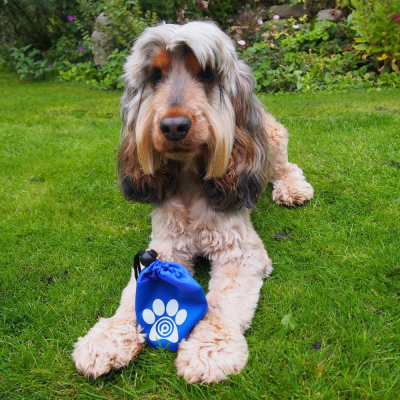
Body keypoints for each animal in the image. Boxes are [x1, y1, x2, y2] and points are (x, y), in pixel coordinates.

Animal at [73, 20, 314, 382]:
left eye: (207, 74)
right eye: (154, 75)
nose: (173, 126)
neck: (189, 180)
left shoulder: (241, 252)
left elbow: (223, 302)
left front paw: (209, 351)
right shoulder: (163, 248)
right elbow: (132, 297)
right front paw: (105, 339)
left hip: (272, 141)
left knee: (288, 167)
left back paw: (293, 190)